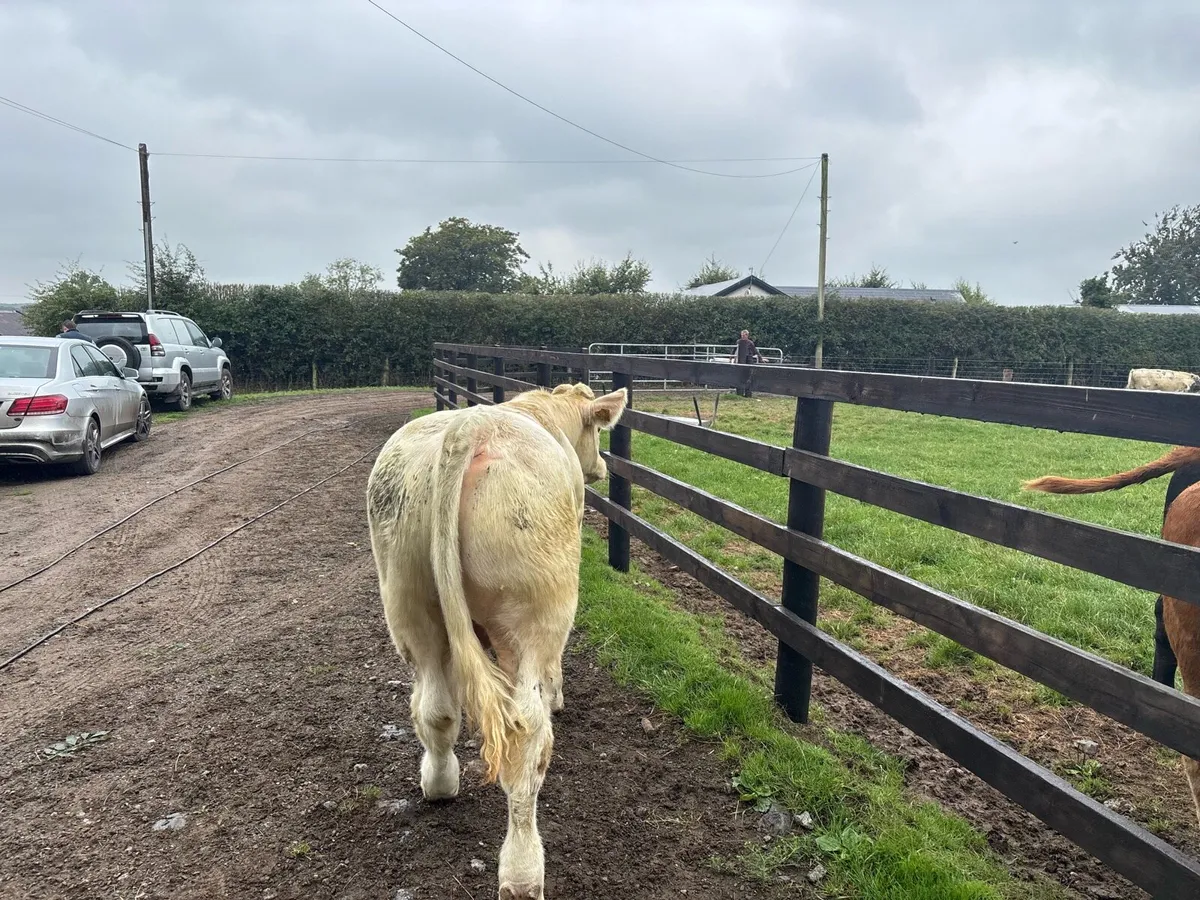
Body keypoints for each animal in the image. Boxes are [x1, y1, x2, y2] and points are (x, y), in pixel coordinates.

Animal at [366, 382, 627, 899]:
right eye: (596, 432)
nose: (602, 469)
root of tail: (471, 426)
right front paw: (558, 695)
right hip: (533, 611)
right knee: (524, 733)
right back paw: (523, 873)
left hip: (408, 598)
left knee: (435, 705)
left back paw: (439, 784)